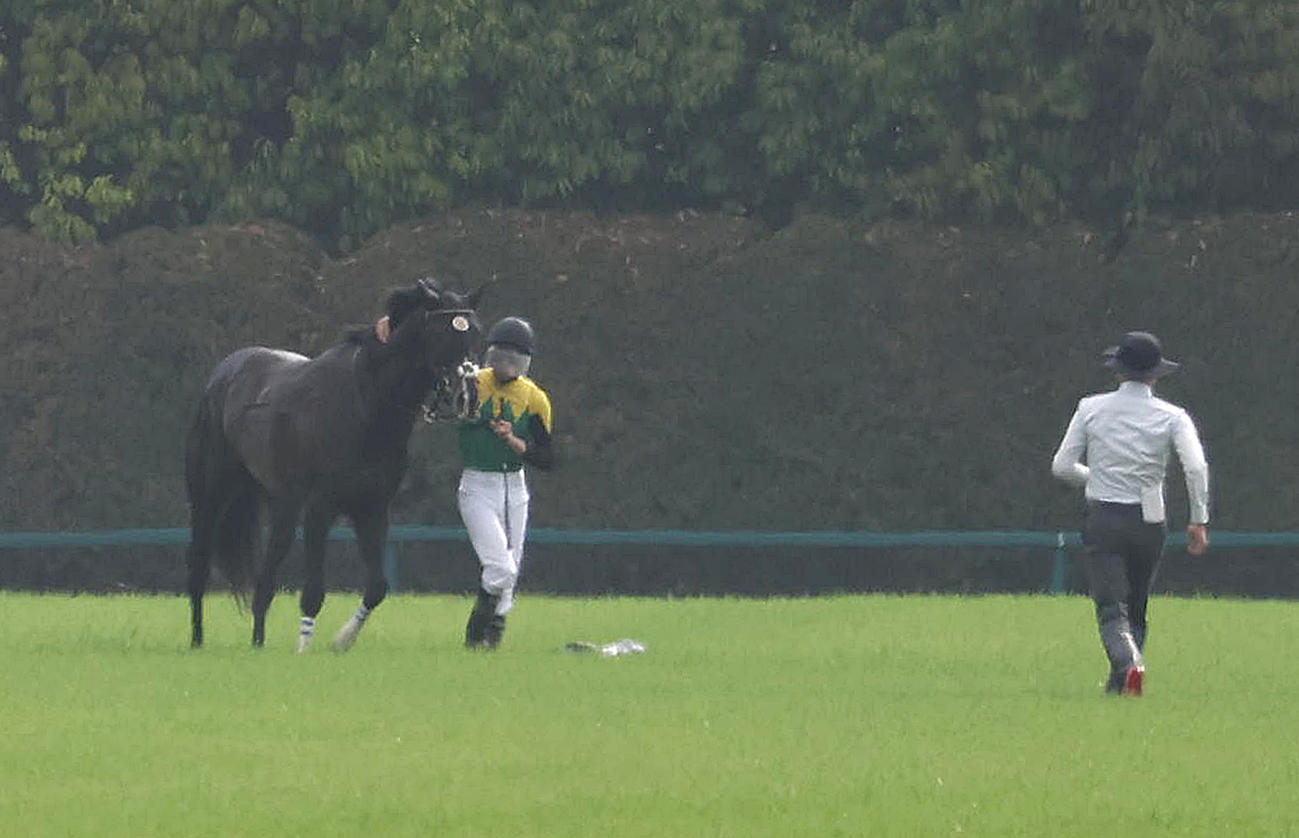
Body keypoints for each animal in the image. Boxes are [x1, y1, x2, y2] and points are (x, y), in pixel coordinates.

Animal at [184, 278, 482, 651]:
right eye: (442, 333)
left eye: (476, 333)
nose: (467, 396)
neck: (365, 404)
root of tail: (222, 375)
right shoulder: (320, 508)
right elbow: (313, 592)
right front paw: (304, 648)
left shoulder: (372, 508)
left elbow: (377, 587)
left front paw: (342, 640)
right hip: (210, 493)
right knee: (199, 564)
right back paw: (197, 640)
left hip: (283, 503)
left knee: (266, 576)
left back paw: (258, 642)